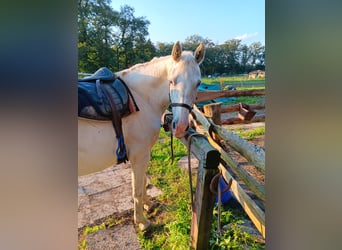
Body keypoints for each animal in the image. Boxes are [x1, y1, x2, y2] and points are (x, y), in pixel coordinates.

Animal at [79, 41, 204, 230]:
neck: (140, 97)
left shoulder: (142, 154)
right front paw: (142, 222)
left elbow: (143, 182)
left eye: (198, 83)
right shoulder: (139, 154)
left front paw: (147, 205)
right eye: (172, 81)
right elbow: (137, 189)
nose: (181, 127)